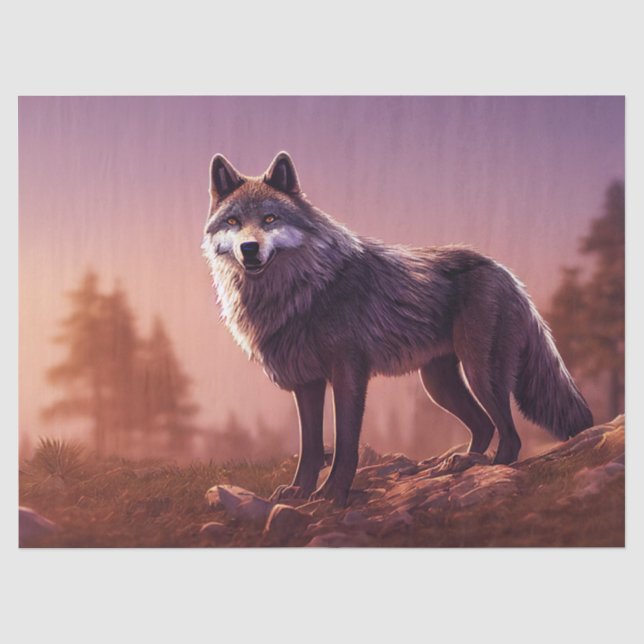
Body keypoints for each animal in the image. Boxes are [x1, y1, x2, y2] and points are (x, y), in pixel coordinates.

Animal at [202, 151, 593, 505]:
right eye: (234, 221)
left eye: (270, 218)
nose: (249, 249)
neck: (301, 291)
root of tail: (505, 272)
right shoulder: (307, 382)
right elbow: (310, 446)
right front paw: (299, 491)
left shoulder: (348, 373)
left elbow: (345, 444)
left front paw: (332, 494)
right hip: (438, 384)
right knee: (484, 425)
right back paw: (459, 463)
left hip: (480, 374)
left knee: (510, 436)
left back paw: (488, 470)